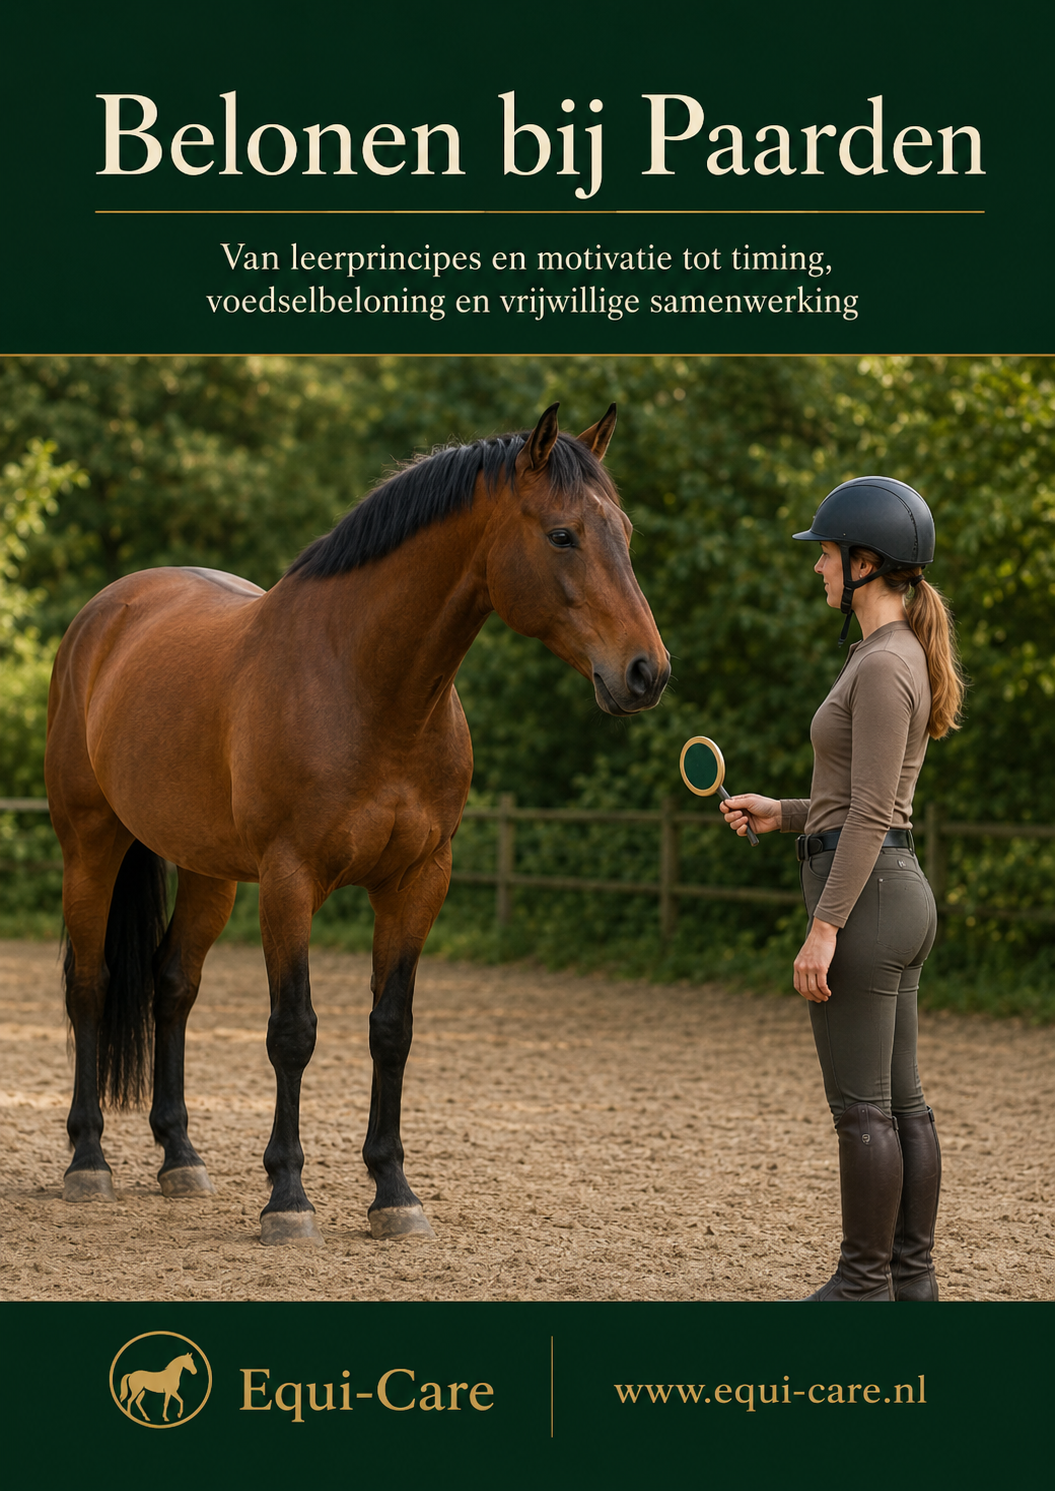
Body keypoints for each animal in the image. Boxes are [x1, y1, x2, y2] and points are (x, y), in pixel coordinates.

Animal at [45, 403, 669, 1245]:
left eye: (624, 531)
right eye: (562, 534)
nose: (646, 672)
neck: (368, 687)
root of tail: (105, 614)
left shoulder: (417, 881)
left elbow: (390, 1028)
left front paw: (393, 1191)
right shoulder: (289, 880)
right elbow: (293, 1031)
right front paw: (287, 1197)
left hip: (208, 869)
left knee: (173, 985)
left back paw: (180, 1156)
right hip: (91, 844)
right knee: (90, 985)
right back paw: (88, 1161)